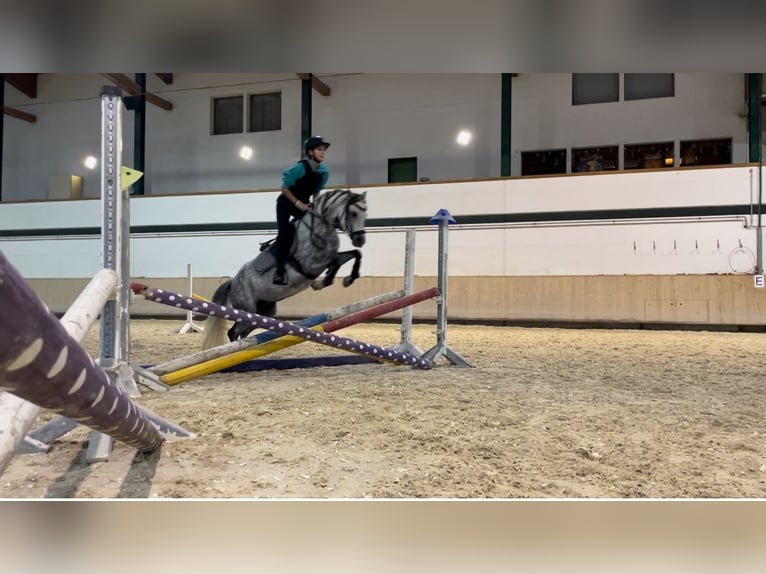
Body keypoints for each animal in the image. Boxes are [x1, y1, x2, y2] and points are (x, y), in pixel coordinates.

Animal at [202, 191, 370, 348]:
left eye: (365, 214)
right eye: (354, 213)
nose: (360, 240)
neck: (319, 228)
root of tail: (232, 282)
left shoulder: (328, 258)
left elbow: (355, 254)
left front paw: (348, 279)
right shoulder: (309, 265)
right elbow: (335, 262)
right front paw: (322, 282)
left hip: (264, 311)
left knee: (244, 332)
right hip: (247, 309)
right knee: (233, 332)